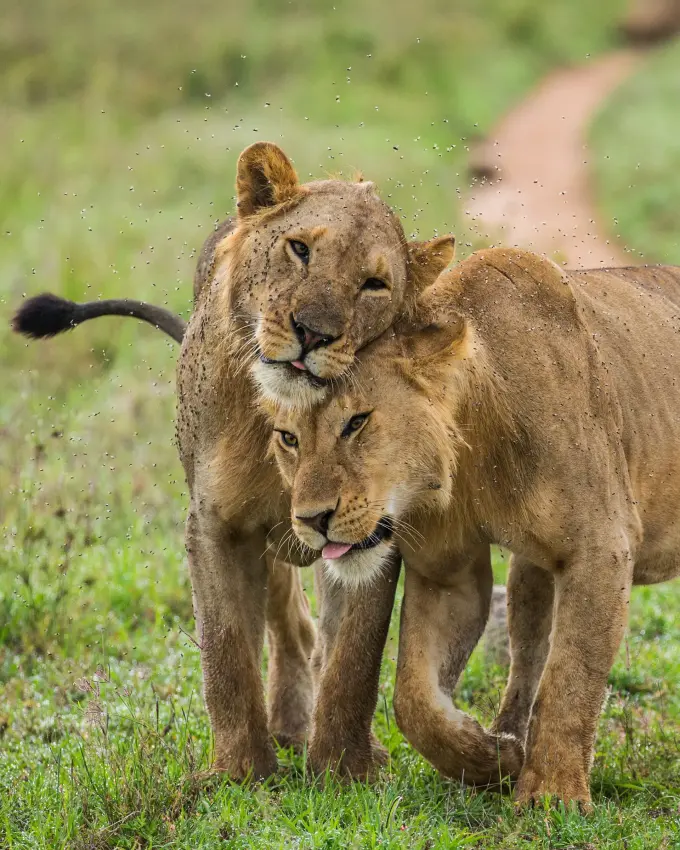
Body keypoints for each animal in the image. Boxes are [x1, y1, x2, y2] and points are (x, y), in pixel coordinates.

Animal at [12, 141, 455, 781]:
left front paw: (344, 767)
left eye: (374, 284)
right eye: (300, 249)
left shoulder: (371, 523)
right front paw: (242, 772)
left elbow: (354, 656)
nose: (312, 333)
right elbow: (225, 650)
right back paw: (288, 728)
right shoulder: (216, 523)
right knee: (288, 626)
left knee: (310, 633)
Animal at [268, 246, 680, 808]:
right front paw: (491, 759)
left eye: (356, 423)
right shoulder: (448, 572)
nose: (311, 520)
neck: (477, 449)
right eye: (288, 438)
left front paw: (552, 796)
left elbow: (572, 677)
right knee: (528, 651)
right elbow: (414, 699)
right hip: (531, 570)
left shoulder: (602, 548)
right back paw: (510, 733)